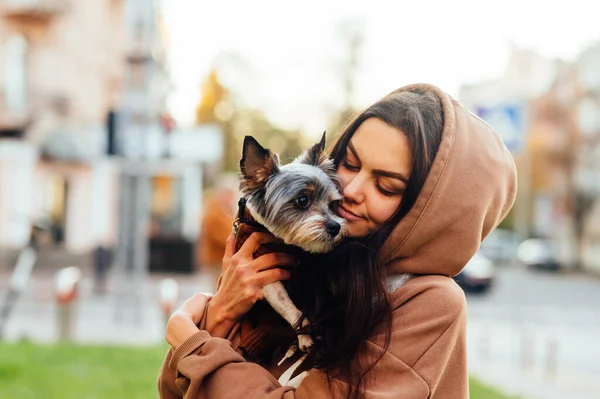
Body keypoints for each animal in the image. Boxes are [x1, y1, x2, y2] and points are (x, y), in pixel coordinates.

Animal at [234, 132, 346, 354]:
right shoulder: (265, 276)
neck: (280, 241)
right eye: (302, 200)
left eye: (332, 204)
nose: (335, 227)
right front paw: (305, 337)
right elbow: (289, 308)